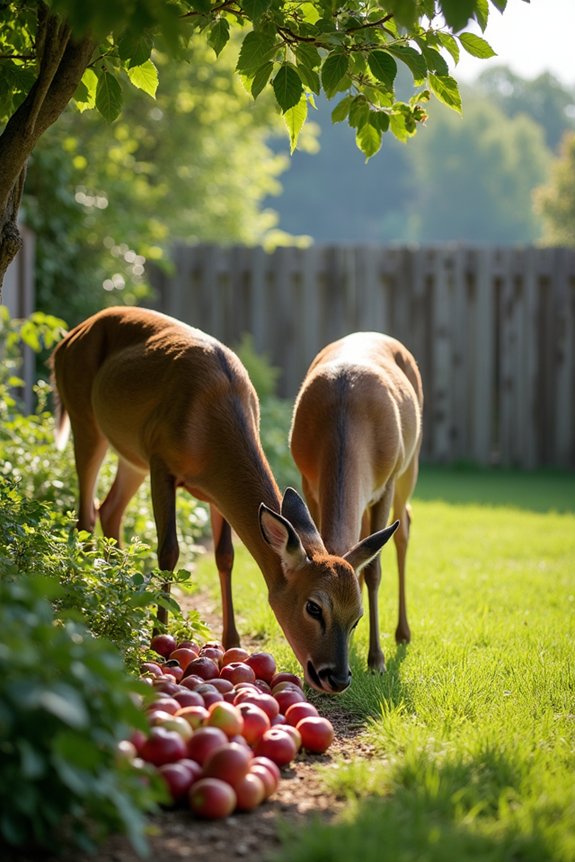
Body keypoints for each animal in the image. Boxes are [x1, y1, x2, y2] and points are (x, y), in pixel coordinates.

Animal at [50, 307, 400, 693]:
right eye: (314, 607)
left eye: (357, 616)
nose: (337, 677)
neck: (206, 427)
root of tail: (66, 341)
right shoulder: (161, 461)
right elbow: (168, 550)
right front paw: (158, 638)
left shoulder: (213, 492)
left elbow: (226, 556)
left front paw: (232, 641)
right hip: (84, 417)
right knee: (86, 513)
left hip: (130, 456)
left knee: (109, 509)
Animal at [289, 331, 423, 674]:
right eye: (313, 607)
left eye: (357, 618)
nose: (334, 672)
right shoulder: (306, 480)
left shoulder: (386, 483)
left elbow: (374, 569)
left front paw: (377, 659)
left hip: (410, 464)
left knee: (404, 527)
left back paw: (403, 632)